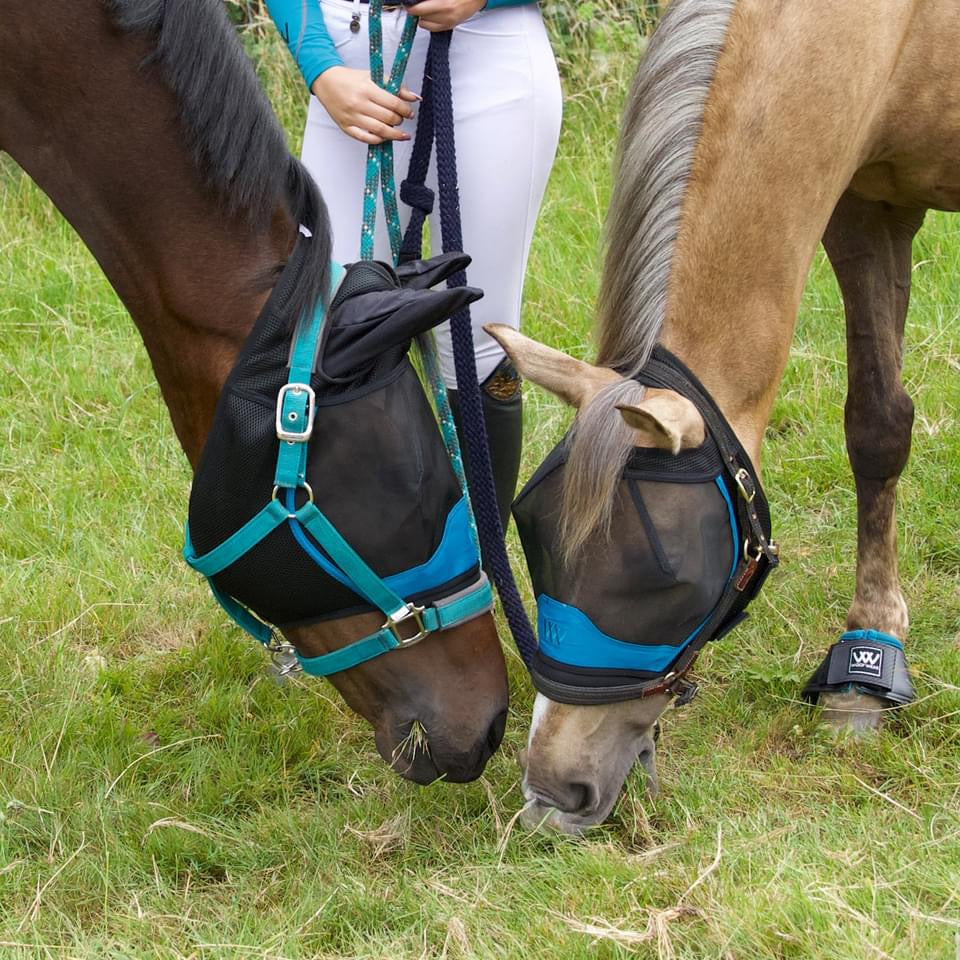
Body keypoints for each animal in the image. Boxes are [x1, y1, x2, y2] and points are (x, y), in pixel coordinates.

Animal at [492, 0, 960, 828]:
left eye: (663, 582)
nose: (551, 793)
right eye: (535, 541)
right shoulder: (865, 205)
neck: (898, 27)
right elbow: (876, 424)